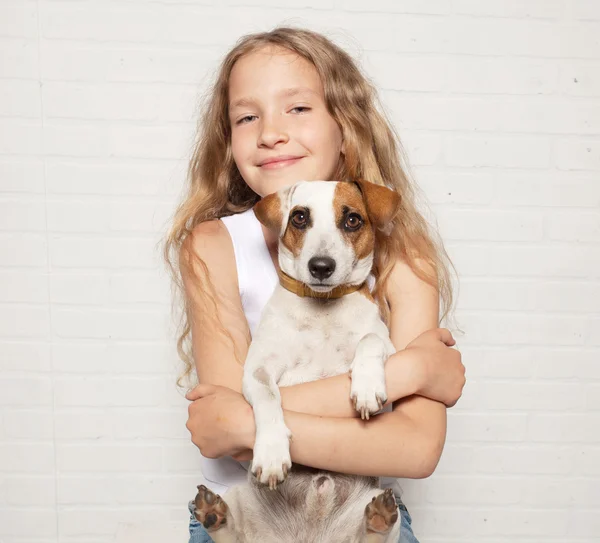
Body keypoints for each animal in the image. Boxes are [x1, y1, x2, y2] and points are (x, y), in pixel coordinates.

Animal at [195, 182, 404, 543]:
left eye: (352, 219)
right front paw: (272, 452)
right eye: (300, 218)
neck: (322, 307)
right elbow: (268, 398)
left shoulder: (390, 345)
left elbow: (370, 340)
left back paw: (378, 518)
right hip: (239, 498)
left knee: (372, 534)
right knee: (230, 533)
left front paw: (365, 388)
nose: (321, 266)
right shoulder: (257, 370)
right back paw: (214, 513)